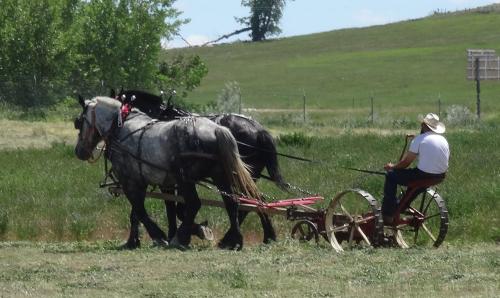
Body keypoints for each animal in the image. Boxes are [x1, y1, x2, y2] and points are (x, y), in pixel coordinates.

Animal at [74, 95, 264, 249]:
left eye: (79, 122)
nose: (79, 151)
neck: (120, 126)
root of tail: (217, 130)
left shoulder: (130, 181)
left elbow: (139, 209)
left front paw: (158, 235)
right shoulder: (148, 182)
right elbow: (144, 211)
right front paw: (133, 241)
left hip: (186, 178)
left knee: (195, 203)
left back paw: (181, 238)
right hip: (220, 176)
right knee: (232, 203)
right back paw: (235, 240)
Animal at [111, 89, 288, 247]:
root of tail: (260, 131)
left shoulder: (166, 181)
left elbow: (170, 209)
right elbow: (173, 208)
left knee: (249, 202)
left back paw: (233, 239)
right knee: (254, 201)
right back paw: (263, 236)